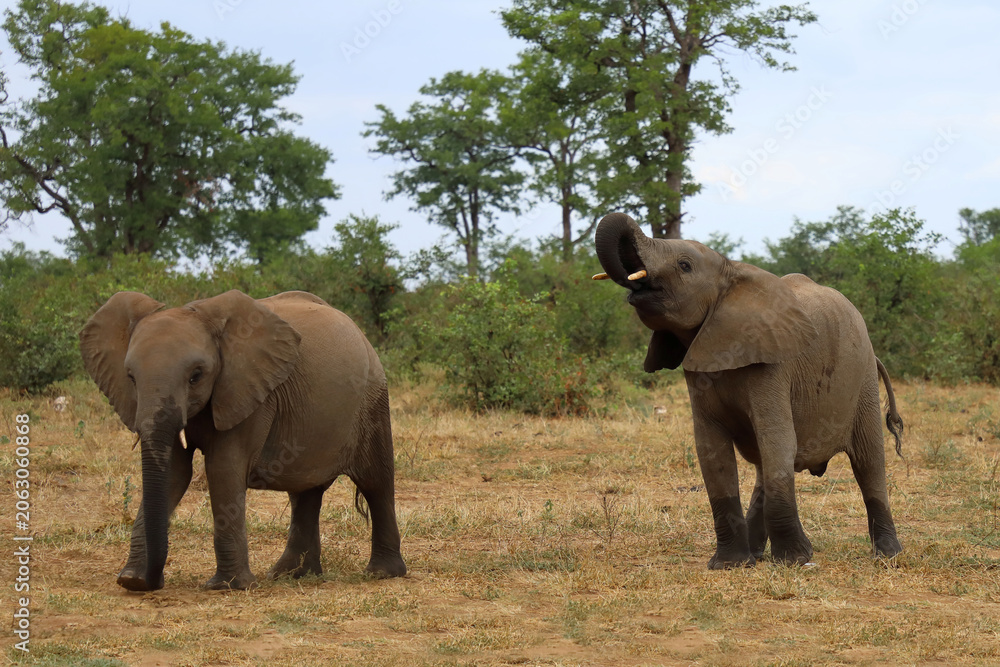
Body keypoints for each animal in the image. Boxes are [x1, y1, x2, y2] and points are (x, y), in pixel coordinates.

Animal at [80, 289, 406, 591]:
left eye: (196, 376)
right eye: (131, 378)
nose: (153, 579)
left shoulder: (251, 392)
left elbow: (223, 467)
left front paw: (228, 586)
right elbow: (174, 472)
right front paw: (131, 580)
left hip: (373, 398)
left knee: (375, 481)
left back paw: (382, 573)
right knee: (304, 491)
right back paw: (291, 575)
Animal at [593, 212, 904, 569]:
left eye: (684, 266)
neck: (730, 272)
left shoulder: (773, 368)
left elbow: (778, 439)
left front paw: (795, 560)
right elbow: (711, 452)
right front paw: (729, 564)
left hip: (862, 378)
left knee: (868, 461)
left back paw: (888, 554)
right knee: (764, 469)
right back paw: (755, 555)